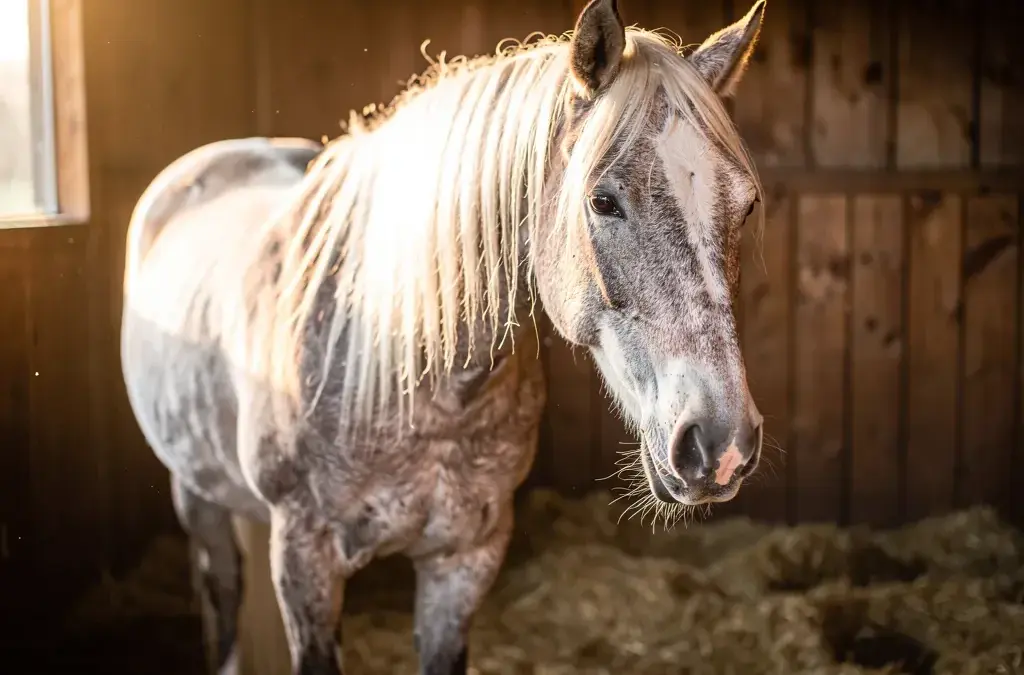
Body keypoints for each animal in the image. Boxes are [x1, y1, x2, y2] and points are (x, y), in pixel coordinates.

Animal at [119, 0, 768, 672]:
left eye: (745, 205)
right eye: (603, 201)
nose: (720, 443)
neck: (409, 370)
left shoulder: (466, 558)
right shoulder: (304, 561)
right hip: (197, 499)